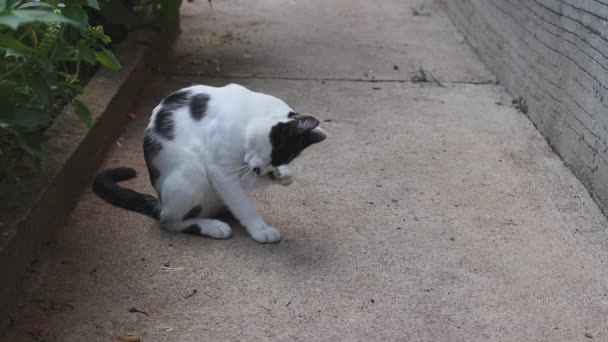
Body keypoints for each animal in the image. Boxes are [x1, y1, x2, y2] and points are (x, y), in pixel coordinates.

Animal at [92, 83, 328, 243]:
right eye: (276, 153)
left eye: (280, 158)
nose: (261, 170)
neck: (247, 116)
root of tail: (160, 200)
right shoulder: (220, 171)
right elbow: (243, 204)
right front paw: (260, 229)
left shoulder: (240, 171)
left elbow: (245, 191)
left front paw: (284, 175)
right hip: (190, 172)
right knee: (168, 220)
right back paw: (212, 226)